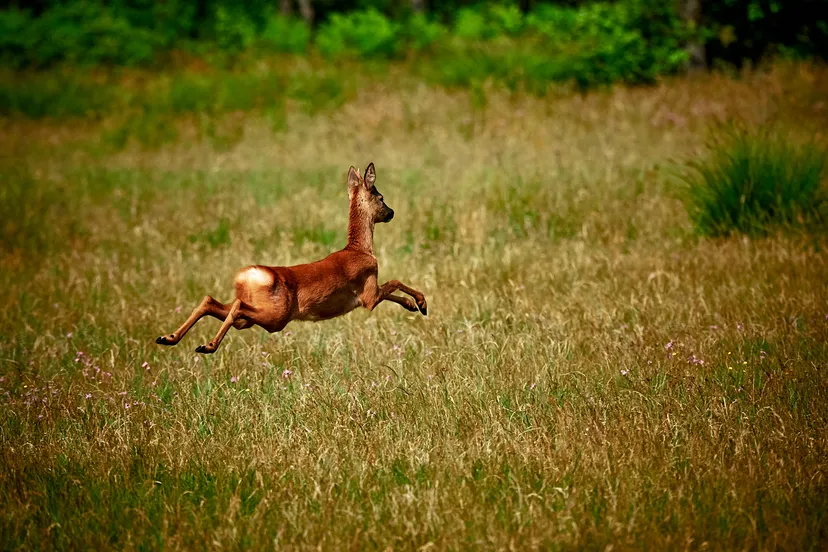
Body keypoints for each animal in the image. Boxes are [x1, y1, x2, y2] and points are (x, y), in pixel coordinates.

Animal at [155, 163, 427, 354]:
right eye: (381, 197)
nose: (391, 213)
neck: (359, 250)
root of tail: (248, 276)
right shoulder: (368, 293)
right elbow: (394, 282)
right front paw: (421, 303)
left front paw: (413, 306)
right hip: (276, 316)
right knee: (235, 306)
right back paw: (207, 346)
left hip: (253, 317)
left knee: (210, 301)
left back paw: (169, 338)